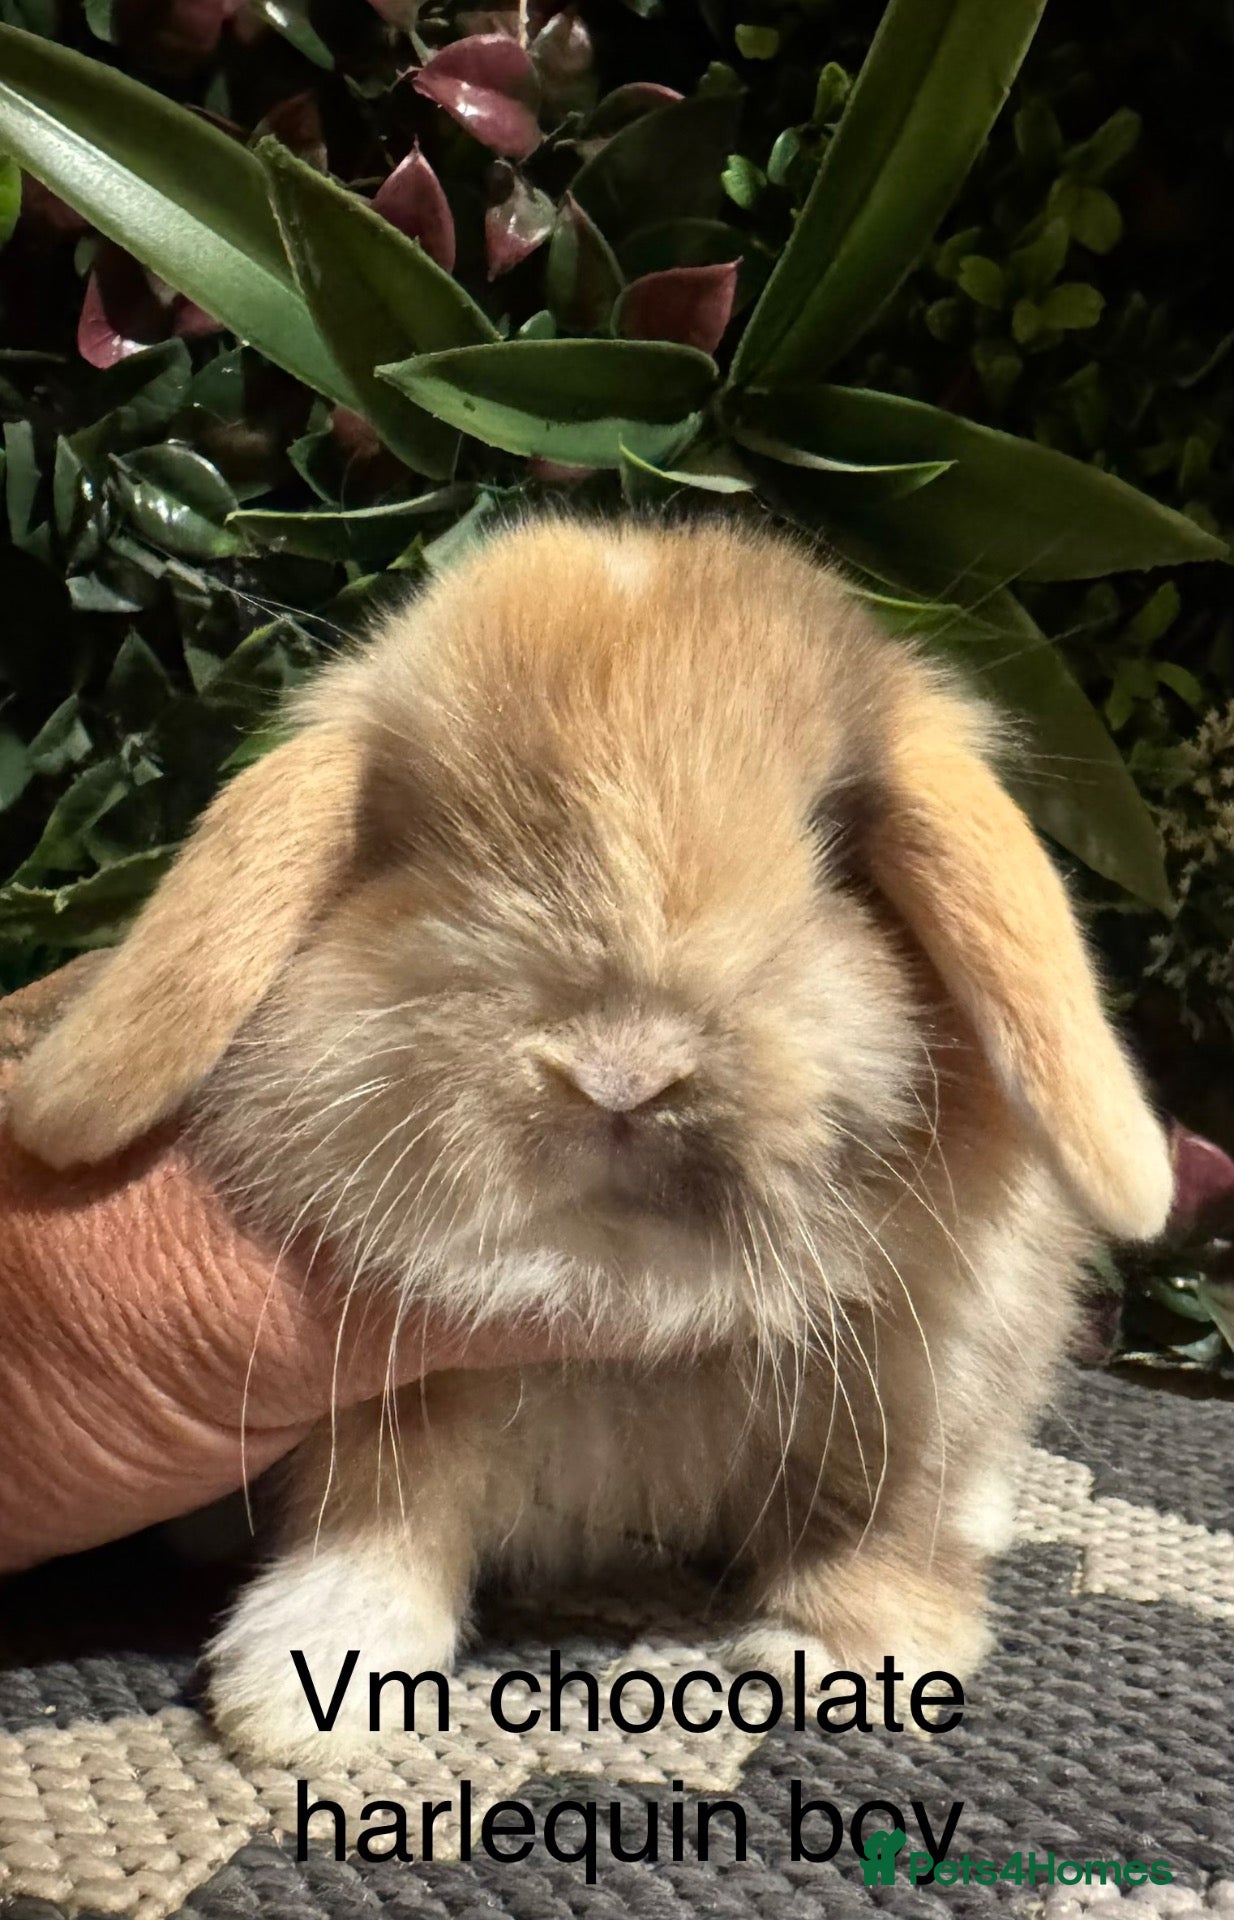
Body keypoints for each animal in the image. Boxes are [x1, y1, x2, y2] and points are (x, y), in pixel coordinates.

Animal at [8, 518, 1172, 1769]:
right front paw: (307, 1695)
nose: (619, 1072)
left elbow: (886, 1517)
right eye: (428, 842)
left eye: (834, 846)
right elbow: (376, 1517)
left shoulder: (929, 1376)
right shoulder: (384, 1410)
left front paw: (851, 1661)